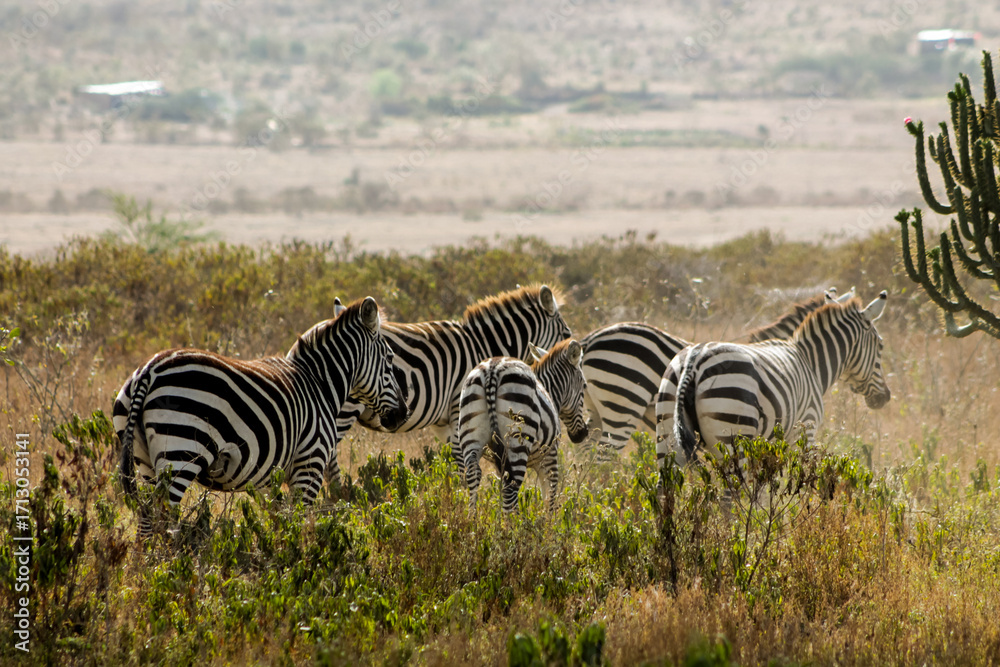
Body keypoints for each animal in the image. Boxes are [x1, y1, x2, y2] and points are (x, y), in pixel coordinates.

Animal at [112, 296, 408, 537]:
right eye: (390, 359)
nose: (403, 415)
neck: (319, 384)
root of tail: (149, 370)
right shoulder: (309, 465)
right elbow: (297, 525)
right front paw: (298, 563)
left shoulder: (268, 478)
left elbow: (279, 522)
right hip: (180, 450)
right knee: (162, 519)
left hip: (145, 459)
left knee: (146, 524)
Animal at [329, 284, 573, 483]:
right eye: (566, 332)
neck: (484, 345)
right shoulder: (459, 410)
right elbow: (464, 467)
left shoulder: (446, 423)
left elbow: (455, 467)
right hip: (342, 408)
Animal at [458, 338, 589, 512]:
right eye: (584, 385)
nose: (583, 433)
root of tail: (493, 369)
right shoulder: (549, 456)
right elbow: (550, 499)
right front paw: (549, 519)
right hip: (518, 439)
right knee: (512, 486)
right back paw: (512, 521)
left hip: (471, 435)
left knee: (475, 474)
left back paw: (472, 518)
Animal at [654, 290, 890, 469]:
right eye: (880, 345)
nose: (886, 397)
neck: (809, 360)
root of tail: (694, 360)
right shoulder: (806, 428)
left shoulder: (770, 443)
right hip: (733, 435)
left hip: (666, 432)